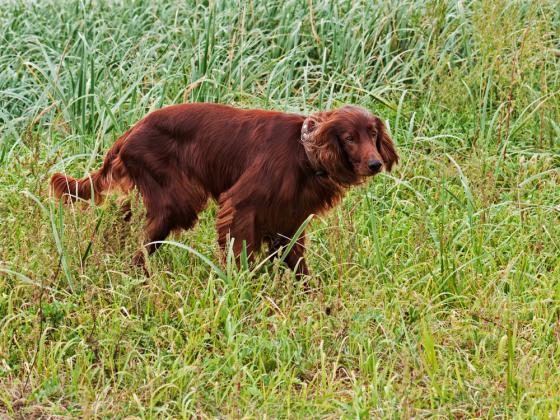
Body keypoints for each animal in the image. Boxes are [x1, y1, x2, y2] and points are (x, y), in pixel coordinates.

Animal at [50, 104, 396, 278]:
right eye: (349, 138)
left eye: (373, 134)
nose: (375, 164)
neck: (303, 152)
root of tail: (130, 131)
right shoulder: (242, 204)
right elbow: (240, 251)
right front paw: (241, 286)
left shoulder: (288, 220)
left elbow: (297, 262)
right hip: (177, 202)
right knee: (143, 247)